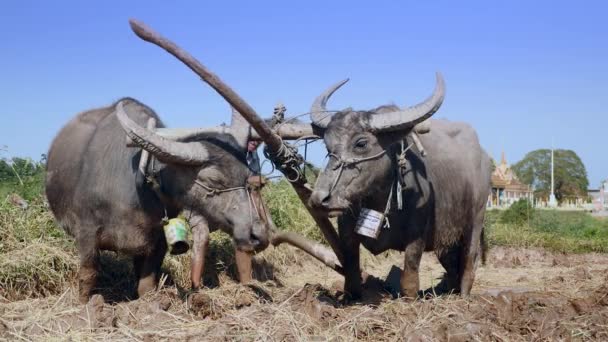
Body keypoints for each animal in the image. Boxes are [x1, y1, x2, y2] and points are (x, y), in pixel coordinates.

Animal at [45, 97, 268, 304]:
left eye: (246, 175)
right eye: (213, 179)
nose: (258, 235)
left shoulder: (157, 239)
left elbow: (146, 282)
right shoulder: (87, 232)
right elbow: (88, 273)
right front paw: (85, 305)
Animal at [306, 73, 492, 298]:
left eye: (361, 143)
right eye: (328, 146)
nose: (320, 199)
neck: (379, 197)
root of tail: (484, 158)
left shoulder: (418, 232)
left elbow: (410, 270)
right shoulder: (346, 227)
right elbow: (351, 268)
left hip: (476, 219)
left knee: (469, 260)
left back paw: (463, 294)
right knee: (452, 264)